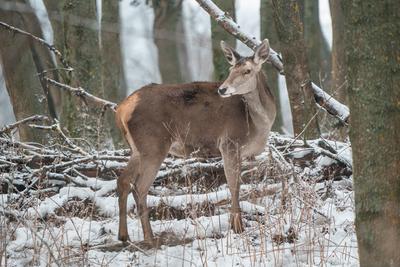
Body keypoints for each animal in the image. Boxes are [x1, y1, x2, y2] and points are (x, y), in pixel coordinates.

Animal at [115, 38, 276, 246]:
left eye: (247, 70)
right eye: (231, 69)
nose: (222, 89)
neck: (257, 123)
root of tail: (121, 109)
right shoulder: (229, 142)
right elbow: (234, 185)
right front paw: (238, 228)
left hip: (136, 149)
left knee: (123, 181)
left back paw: (123, 236)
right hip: (153, 144)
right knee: (140, 187)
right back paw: (150, 238)